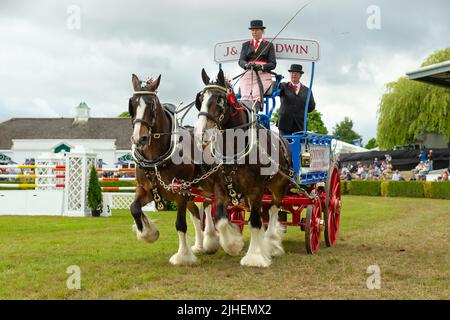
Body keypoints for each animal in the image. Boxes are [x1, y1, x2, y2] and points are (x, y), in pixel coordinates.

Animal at [126, 74, 204, 264]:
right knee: (197, 214)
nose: (139, 139)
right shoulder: (146, 190)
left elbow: (180, 224)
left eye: (152, 104)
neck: (156, 160)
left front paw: (182, 256)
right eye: (131, 104)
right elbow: (134, 208)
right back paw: (200, 246)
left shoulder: (181, 193)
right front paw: (148, 234)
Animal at [194, 68, 294, 268]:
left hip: (279, 185)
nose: (201, 133)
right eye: (200, 99)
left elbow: (254, 221)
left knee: (273, 209)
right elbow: (220, 219)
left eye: (219, 100)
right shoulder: (220, 187)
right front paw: (233, 244)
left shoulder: (256, 188)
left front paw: (255, 257)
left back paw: (272, 244)